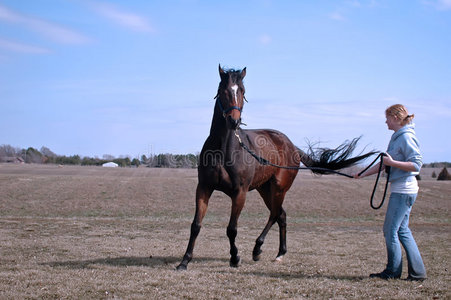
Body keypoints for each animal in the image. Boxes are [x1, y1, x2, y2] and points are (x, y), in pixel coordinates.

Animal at [176, 64, 374, 270]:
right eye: (223, 90)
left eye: (243, 91)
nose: (234, 121)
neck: (225, 149)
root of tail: (291, 146)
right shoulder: (204, 188)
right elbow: (196, 225)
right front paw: (185, 260)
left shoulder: (240, 192)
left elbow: (232, 229)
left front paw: (235, 257)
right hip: (265, 189)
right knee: (281, 215)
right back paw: (280, 252)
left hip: (279, 188)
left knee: (275, 214)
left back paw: (258, 249)